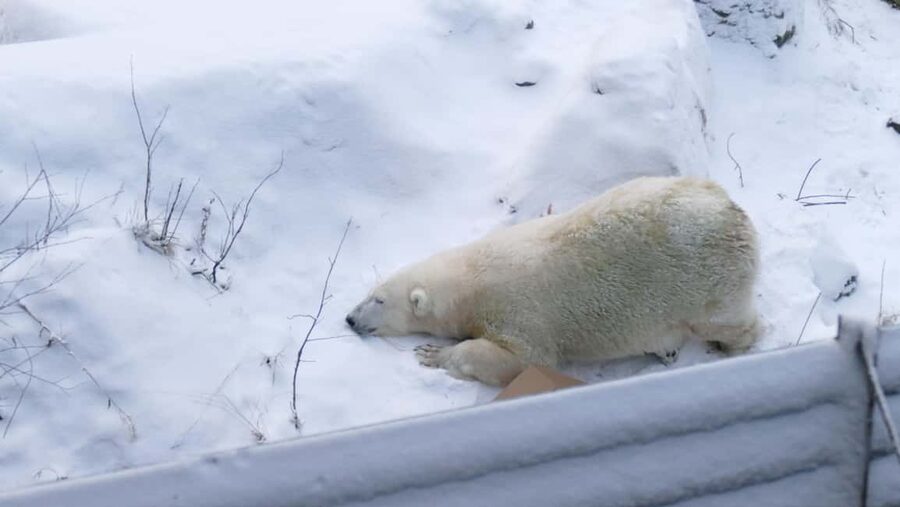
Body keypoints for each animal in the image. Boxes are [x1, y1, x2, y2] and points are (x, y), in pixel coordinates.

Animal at [346, 177, 760, 387]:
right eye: (369, 293)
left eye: (379, 301)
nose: (350, 319)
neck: (471, 277)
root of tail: (728, 206)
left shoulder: (517, 312)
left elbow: (524, 360)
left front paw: (434, 353)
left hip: (704, 280)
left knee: (726, 321)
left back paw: (731, 348)